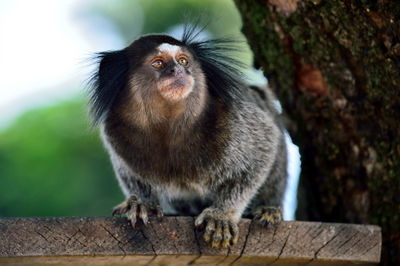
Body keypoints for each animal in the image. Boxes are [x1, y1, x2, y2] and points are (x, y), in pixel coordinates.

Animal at [88, 25, 288, 247]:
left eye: (183, 60)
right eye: (158, 63)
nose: (178, 70)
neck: (169, 127)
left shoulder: (235, 118)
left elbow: (263, 146)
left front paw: (221, 215)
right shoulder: (116, 134)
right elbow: (131, 176)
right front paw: (142, 204)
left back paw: (268, 208)